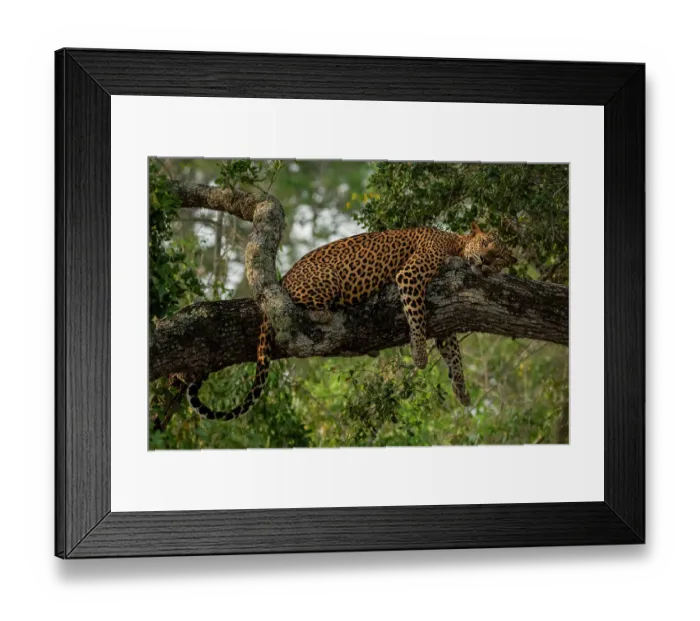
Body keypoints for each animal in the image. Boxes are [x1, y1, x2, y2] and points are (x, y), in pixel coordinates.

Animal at [185, 221, 517, 420]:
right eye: (485, 243)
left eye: (500, 255)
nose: (486, 261)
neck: (456, 243)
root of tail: (283, 278)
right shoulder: (411, 275)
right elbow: (417, 317)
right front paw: (420, 354)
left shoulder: (445, 315)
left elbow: (453, 351)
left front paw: (460, 388)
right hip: (328, 278)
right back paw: (323, 311)